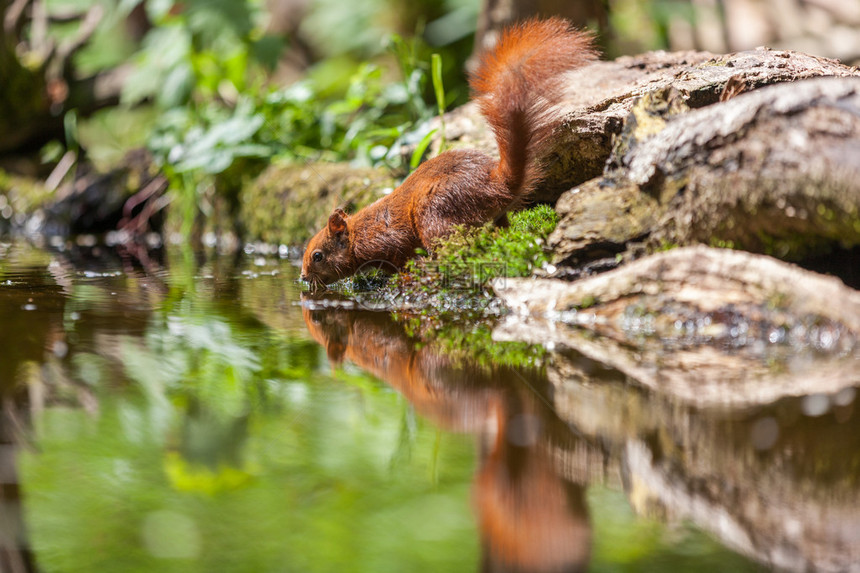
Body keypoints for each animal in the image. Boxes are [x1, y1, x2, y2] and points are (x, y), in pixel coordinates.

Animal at [304, 17, 596, 286]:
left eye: (318, 256)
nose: (304, 277)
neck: (358, 234)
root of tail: (497, 185)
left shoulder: (388, 240)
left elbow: (401, 257)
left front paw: (404, 274)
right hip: (487, 217)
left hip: (435, 212)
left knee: (451, 248)